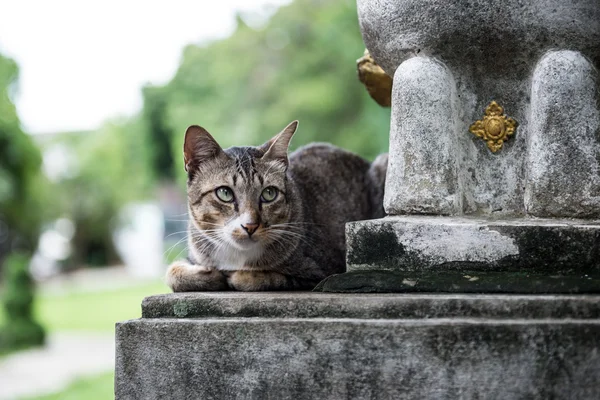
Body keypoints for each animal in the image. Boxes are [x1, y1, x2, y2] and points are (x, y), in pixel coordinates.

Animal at [166, 120, 386, 292]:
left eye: (269, 193)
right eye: (225, 193)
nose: (250, 226)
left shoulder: (322, 272)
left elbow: (263, 277)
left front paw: (235, 276)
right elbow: (172, 272)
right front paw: (207, 274)